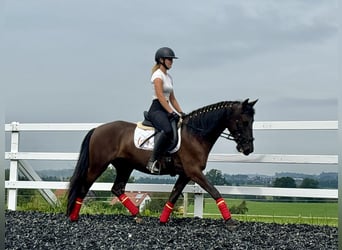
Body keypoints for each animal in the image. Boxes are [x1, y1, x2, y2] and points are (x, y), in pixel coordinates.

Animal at [67, 98, 256, 229]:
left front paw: (163, 220)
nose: (248, 148)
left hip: (124, 166)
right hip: (98, 165)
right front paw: (230, 221)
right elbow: (214, 191)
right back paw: (74, 217)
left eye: (252, 122)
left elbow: (174, 195)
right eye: (244, 121)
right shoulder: (194, 171)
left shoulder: (186, 174)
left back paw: (137, 216)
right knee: (84, 186)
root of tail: (97, 129)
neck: (195, 134)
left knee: (117, 188)